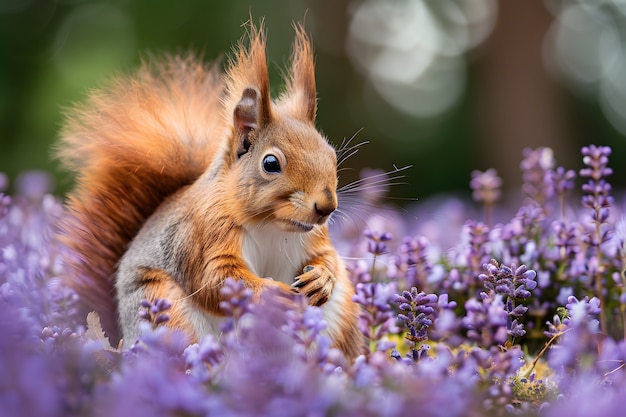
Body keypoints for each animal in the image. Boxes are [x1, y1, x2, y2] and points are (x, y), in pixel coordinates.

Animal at [58, 21, 360, 360]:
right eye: (270, 163)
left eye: (331, 154)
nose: (327, 207)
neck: (272, 225)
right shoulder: (203, 235)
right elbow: (215, 280)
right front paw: (271, 294)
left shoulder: (315, 238)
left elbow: (327, 257)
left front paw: (321, 278)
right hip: (163, 305)